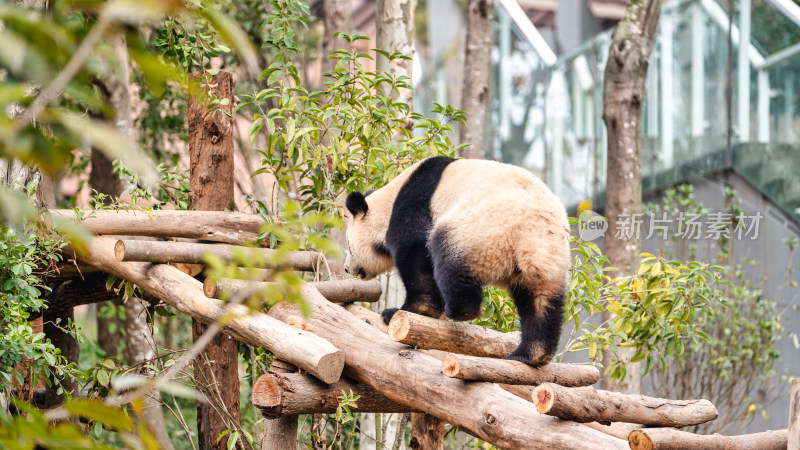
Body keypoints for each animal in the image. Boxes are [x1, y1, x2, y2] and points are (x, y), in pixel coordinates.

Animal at [344, 155, 568, 366]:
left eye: (349, 246)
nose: (347, 269)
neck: (391, 198)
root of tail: (532, 236)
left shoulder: (414, 207)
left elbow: (414, 251)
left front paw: (412, 310)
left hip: (482, 228)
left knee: (449, 256)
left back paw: (459, 310)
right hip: (551, 260)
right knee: (540, 304)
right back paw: (529, 355)